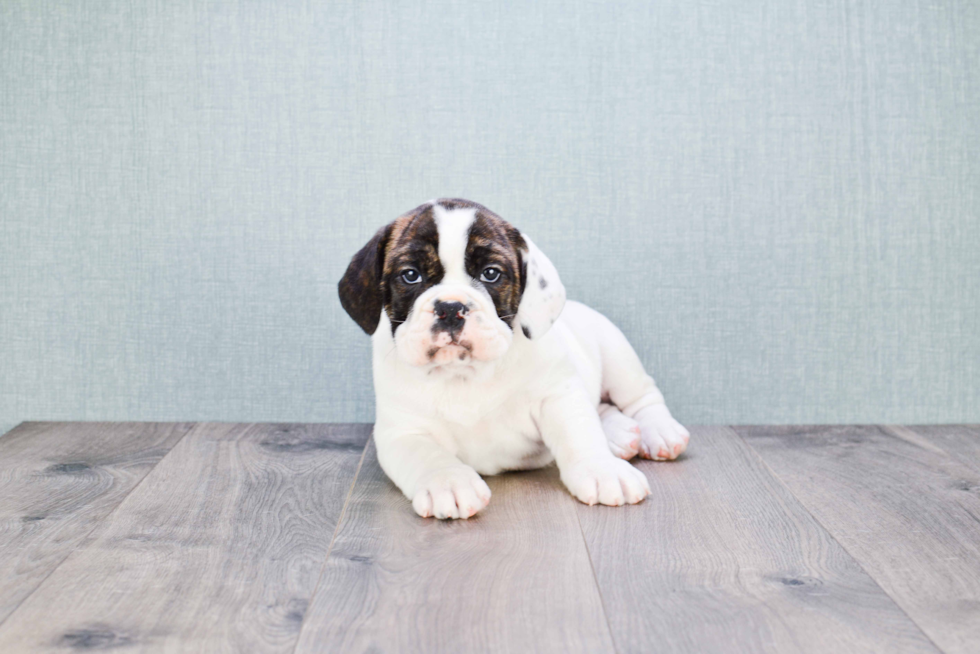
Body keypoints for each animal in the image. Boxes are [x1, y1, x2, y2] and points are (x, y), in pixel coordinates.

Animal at [336, 200, 688, 524]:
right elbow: (428, 455)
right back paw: (620, 435)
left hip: (617, 355)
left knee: (641, 397)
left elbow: (580, 433)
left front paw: (603, 470)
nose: (450, 307)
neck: (464, 374)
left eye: (491, 273)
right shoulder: (403, 431)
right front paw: (449, 482)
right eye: (410, 275)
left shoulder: (557, 396)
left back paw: (658, 431)